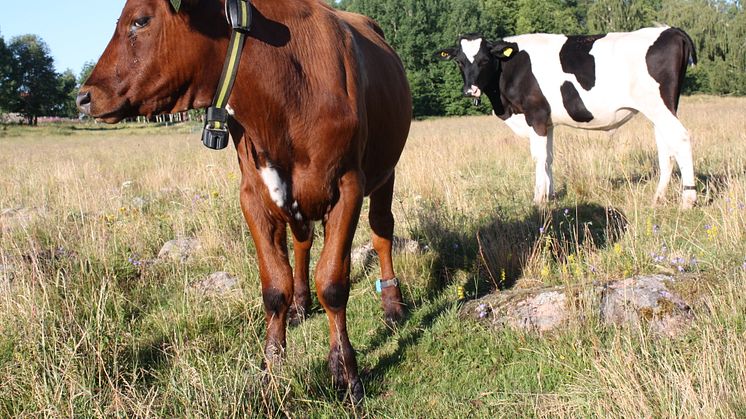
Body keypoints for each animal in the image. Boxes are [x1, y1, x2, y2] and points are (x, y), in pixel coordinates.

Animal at [78, 0, 410, 402]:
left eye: (140, 21)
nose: (83, 96)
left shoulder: (348, 185)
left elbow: (332, 285)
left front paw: (346, 374)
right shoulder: (253, 195)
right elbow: (275, 289)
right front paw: (271, 373)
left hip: (385, 171)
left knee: (382, 230)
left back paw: (392, 305)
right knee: (303, 240)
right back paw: (302, 305)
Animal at [434, 26, 696, 208]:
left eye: (484, 60)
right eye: (459, 61)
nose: (470, 90)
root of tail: (669, 30)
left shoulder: (536, 115)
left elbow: (538, 157)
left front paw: (538, 199)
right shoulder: (548, 122)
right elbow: (549, 157)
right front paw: (550, 195)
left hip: (658, 106)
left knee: (681, 138)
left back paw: (688, 199)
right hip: (661, 108)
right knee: (665, 146)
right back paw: (658, 197)